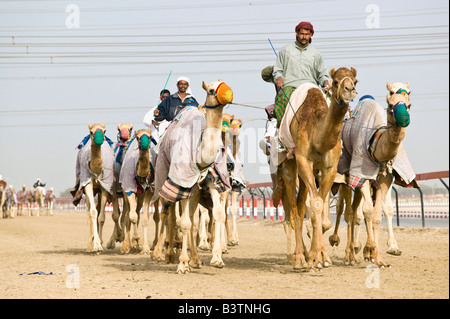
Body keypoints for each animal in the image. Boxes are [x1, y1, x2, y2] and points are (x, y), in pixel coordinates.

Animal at [152, 80, 236, 276]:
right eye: (211, 90)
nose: (229, 94)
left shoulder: (211, 181)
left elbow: (217, 214)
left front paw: (217, 258)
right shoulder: (182, 181)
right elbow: (184, 222)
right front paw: (182, 264)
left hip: (196, 189)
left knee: (191, 218)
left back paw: (195, 260)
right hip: (164, 178)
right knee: (168, 214)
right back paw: (163, 253)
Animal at [278, 67, 358, 272]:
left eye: (355, 80)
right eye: (336, 81)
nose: (349, 90)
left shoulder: (330, 168)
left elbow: (321, 211)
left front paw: (320, 256)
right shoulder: (304, 161)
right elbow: (315, 205)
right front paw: (317, 257)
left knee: (300, 205)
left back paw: (305, 255)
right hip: (290, 165)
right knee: (294, 210)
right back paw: (299, 258)